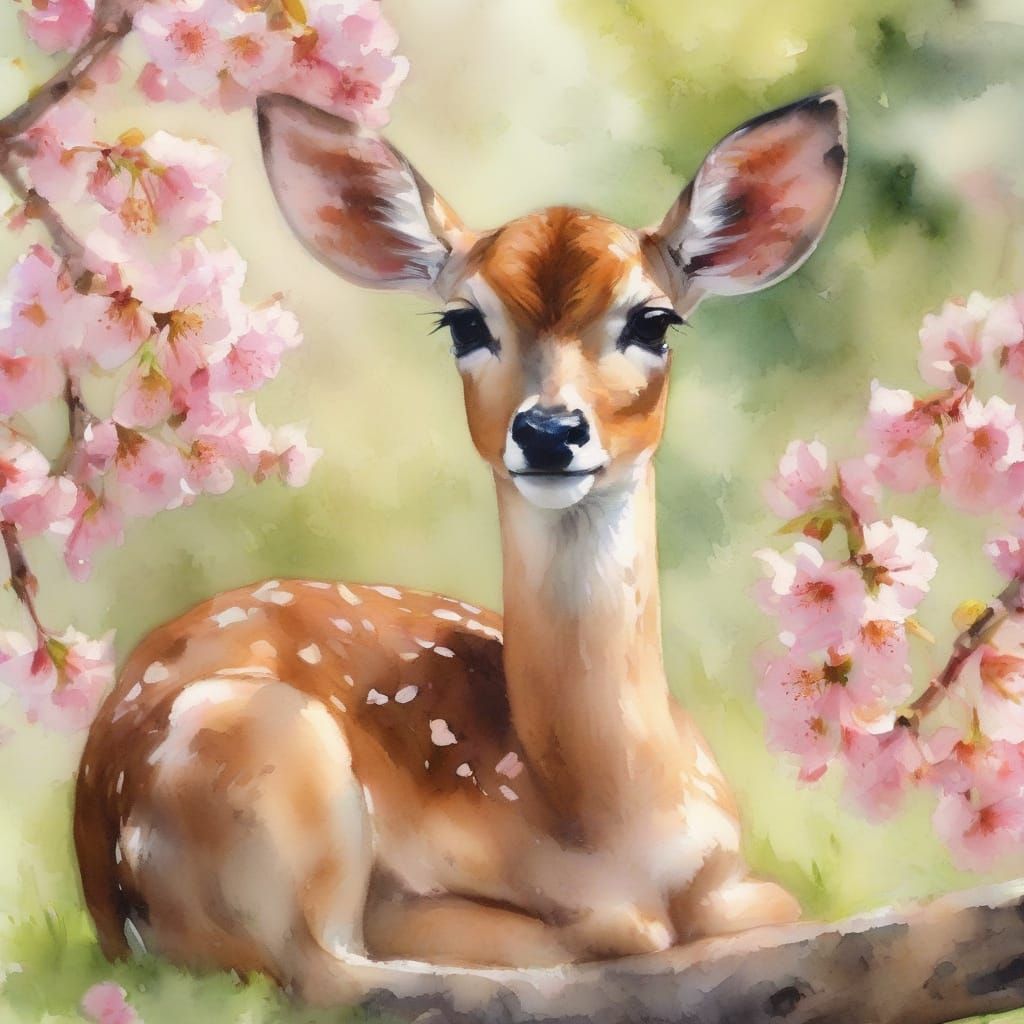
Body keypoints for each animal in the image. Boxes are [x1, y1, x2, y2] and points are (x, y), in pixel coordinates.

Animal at [72, 87, 847, 1007]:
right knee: (334, 974)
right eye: (464, 322)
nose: (548, 431)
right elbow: (583, 935)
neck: (612, 816)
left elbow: (773, 903)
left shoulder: (734, 870)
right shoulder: (418, 896)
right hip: (268, 763)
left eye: (655, 321)